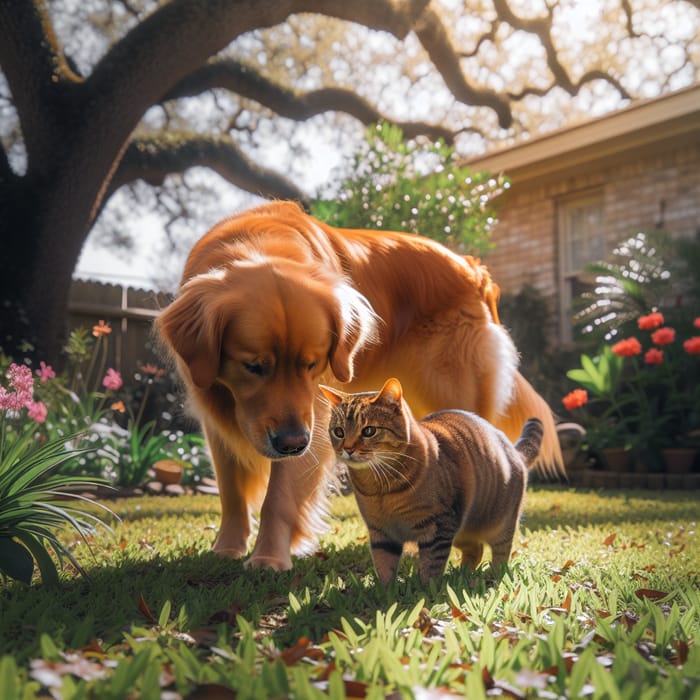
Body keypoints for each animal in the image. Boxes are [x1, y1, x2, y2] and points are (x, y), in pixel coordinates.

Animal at [318, 378, 540, 584]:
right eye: (339, 432)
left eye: (369, 431)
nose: (347, 449)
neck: (379, 487)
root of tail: (514, 450)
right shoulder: (381, 532)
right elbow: (384, 565)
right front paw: (384, 591)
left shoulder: (438, 527)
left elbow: (430, 567)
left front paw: (425, 591)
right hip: (462, 532)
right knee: (475, 549)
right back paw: (462, 573)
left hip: (500, 525)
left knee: (501, 553)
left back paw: (492, 574)